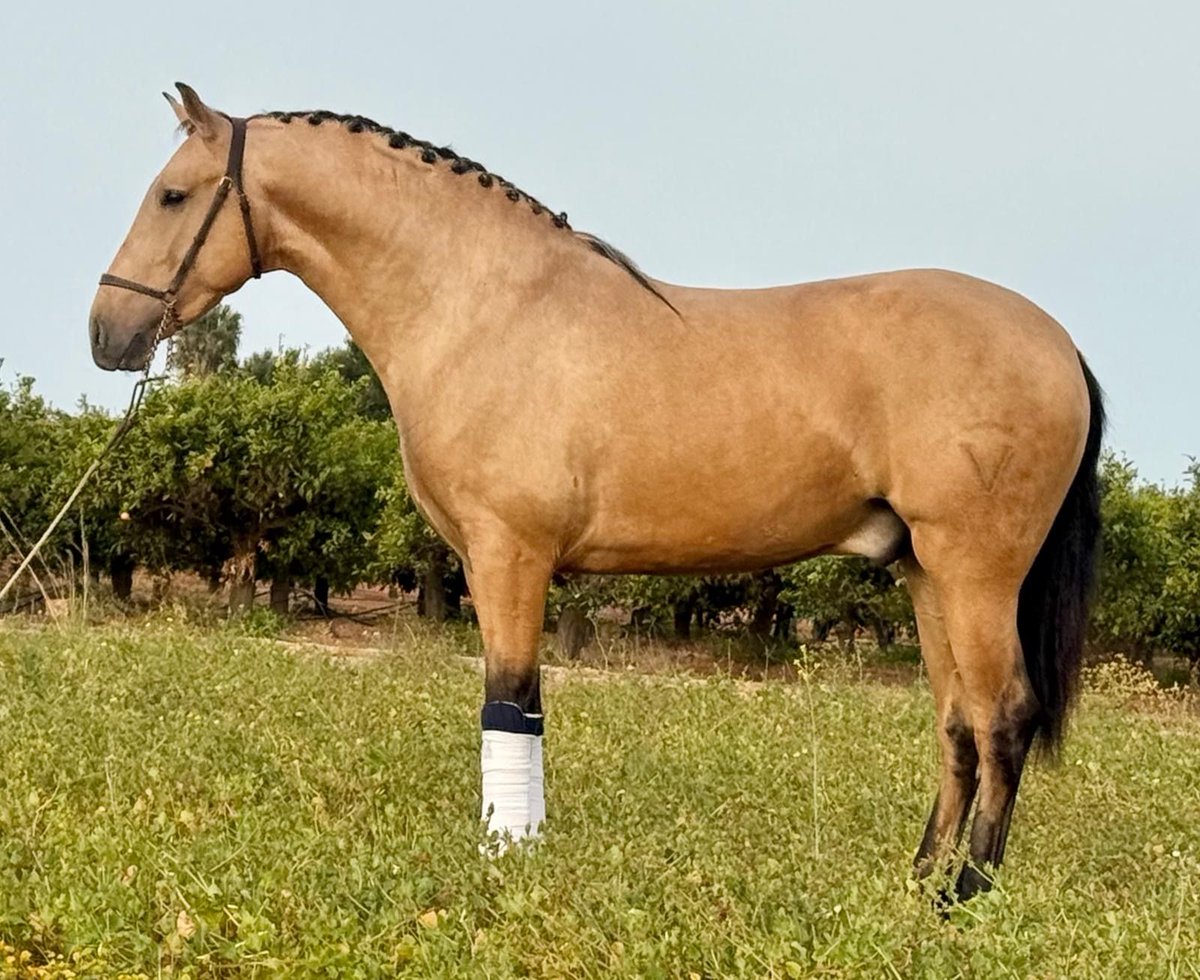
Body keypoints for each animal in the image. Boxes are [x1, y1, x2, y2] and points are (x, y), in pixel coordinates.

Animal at [89, 84, 1104, 902]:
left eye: (173, 193)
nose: (108, 332)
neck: (481, 306)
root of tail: (1058, 343)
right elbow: (525, 708)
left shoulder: (507, 556)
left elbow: (508, 703)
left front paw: (506, 865)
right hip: (924, 571)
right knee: (958, 726)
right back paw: (918, 883)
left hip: (976, 572)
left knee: (1004, 718)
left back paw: (964, 900)